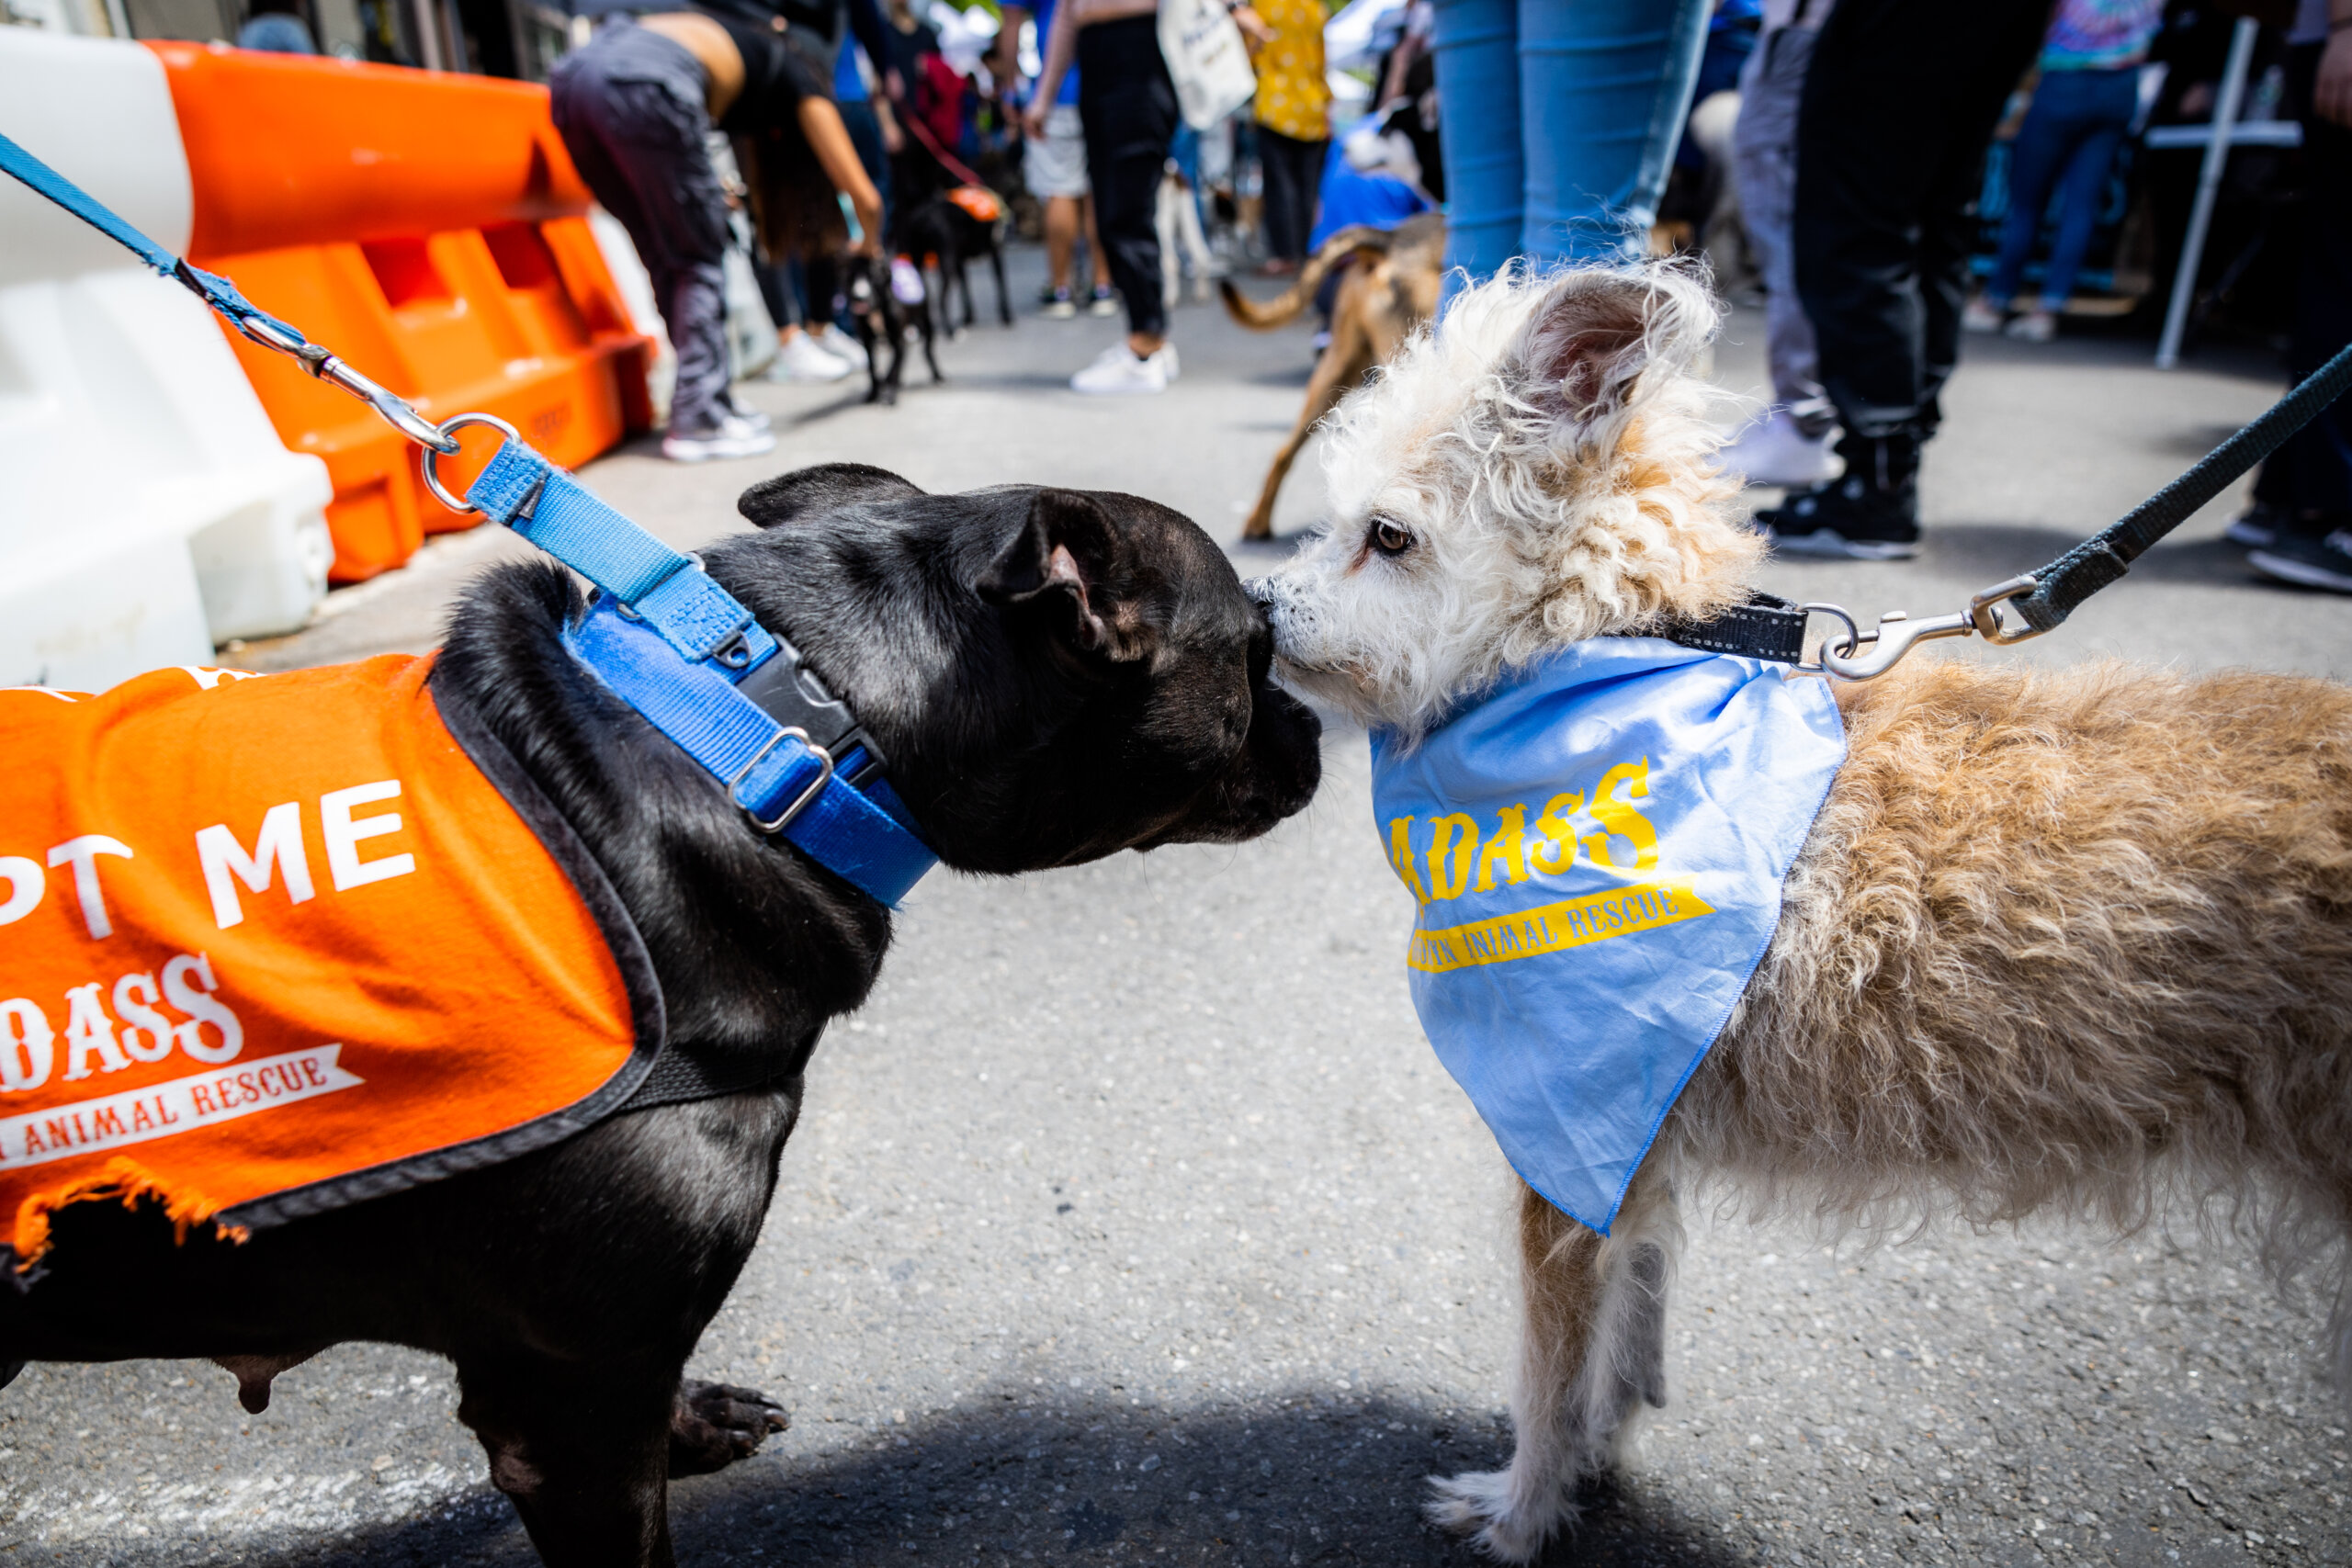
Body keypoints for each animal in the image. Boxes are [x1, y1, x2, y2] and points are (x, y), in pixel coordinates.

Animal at [0, 465, 1326, 1568]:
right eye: (1255, 651)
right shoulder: (567, 1409)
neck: (777, 739)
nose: (1317, 724)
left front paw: (696, 1425)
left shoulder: (603, 1373)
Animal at [846, 247, 945, 401]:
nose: (860, 297)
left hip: (925, 323)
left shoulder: (897, 340)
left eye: (874, 278)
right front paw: (874, 393)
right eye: (852, 277)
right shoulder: (867, 341)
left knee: (927, 351)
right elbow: (872, 369)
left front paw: (890, 394)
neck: (877, 309)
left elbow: (892, 369)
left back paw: (937, 376)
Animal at [1261, 263, 2352, 1561]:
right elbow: (1630, 1321)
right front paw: (1602, 1454)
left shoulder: (1567, 1152)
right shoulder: (1636, 1147)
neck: (1613, 661)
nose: (1258, 611)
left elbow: (1549, 1371)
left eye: (1387, 537)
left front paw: (1522, 1514)